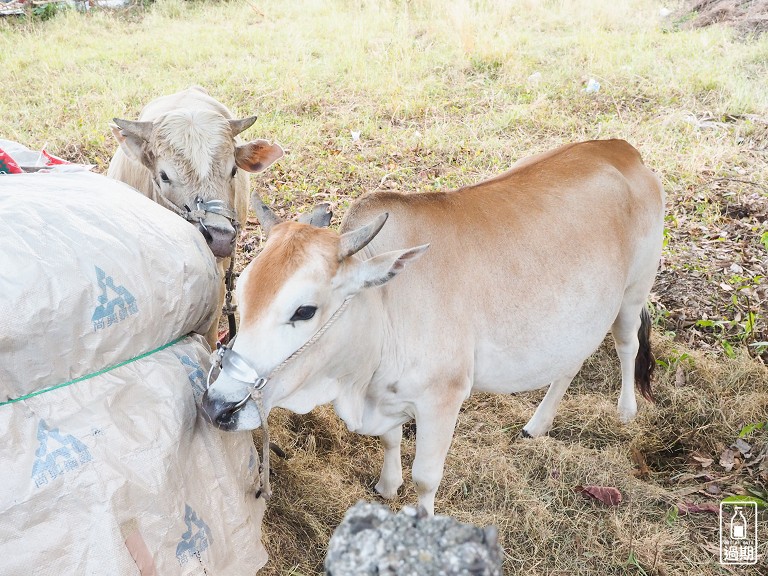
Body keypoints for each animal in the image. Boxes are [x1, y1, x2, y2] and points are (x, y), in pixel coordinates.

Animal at [201, 138, 664, 512]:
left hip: (633, 292)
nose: (217, 406)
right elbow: (390, 440)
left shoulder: (443, 397)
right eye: (239, 295)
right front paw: (387, 485)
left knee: (627, 345)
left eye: (304, 311)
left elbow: (426, 479)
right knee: (569, 364)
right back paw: (537, 425)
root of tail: (622, 149)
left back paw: (626, 411)